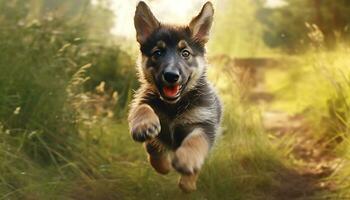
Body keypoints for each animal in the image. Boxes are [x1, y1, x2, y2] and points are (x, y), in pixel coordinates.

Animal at [128, 1, 221, 192]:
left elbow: (197, 140)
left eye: (185, 53)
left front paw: (187, 159)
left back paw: (188, 183)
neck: (174, 106)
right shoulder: (142, 102)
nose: (171, 76)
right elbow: (144, 111)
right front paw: (144, 125)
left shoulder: (205, 124)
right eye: (157, 53)